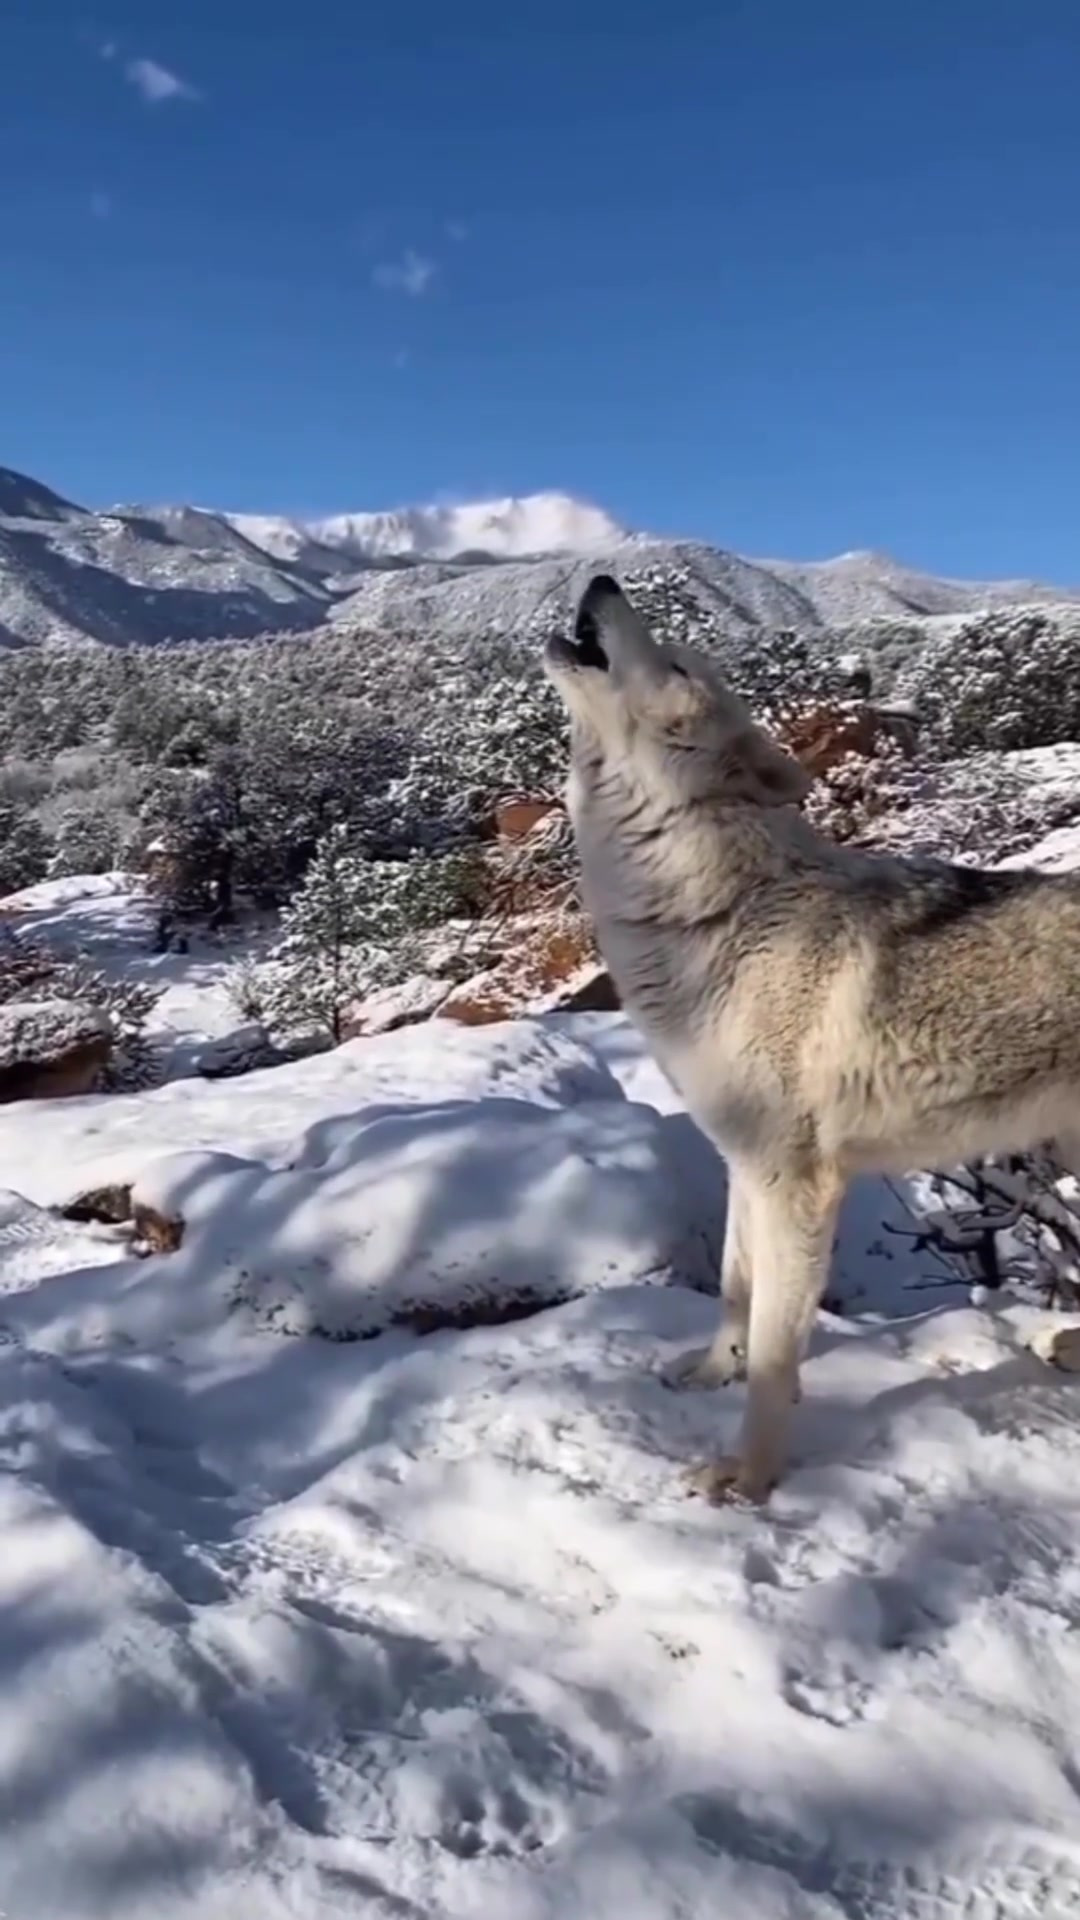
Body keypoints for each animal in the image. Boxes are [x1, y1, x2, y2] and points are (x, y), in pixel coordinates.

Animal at [541, 568, 1076, 1497]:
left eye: (675, 661)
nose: (604, 577)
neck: (714, 909)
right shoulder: (742, 1160)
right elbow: (734, 1289)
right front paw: (708, 1374)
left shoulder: (799, 1182)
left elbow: (774, 1355)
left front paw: (747, 1479)